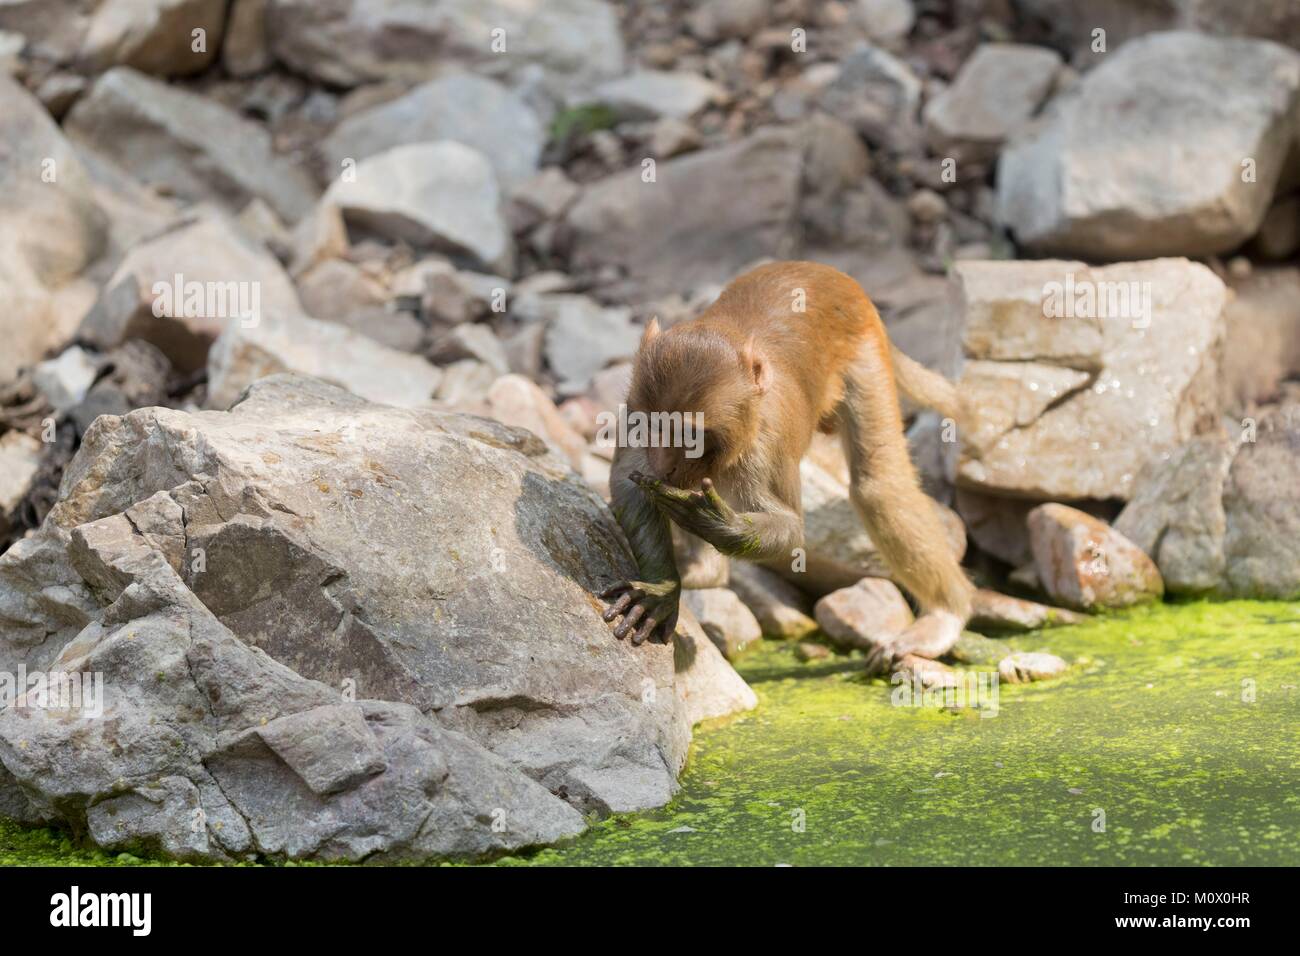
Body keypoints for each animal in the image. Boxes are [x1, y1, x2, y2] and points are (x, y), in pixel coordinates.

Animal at [600, 261, 973, 674]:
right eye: (654, 426)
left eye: (691, 435)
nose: (663, 466)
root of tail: (826, 272)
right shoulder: (634, 411)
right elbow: (630, 484)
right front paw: (663, 585)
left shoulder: (769, 444)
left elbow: (791, 530)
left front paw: (715, 523)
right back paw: (706, 571)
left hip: (865, 356)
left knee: (878, 486)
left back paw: (946, 614)